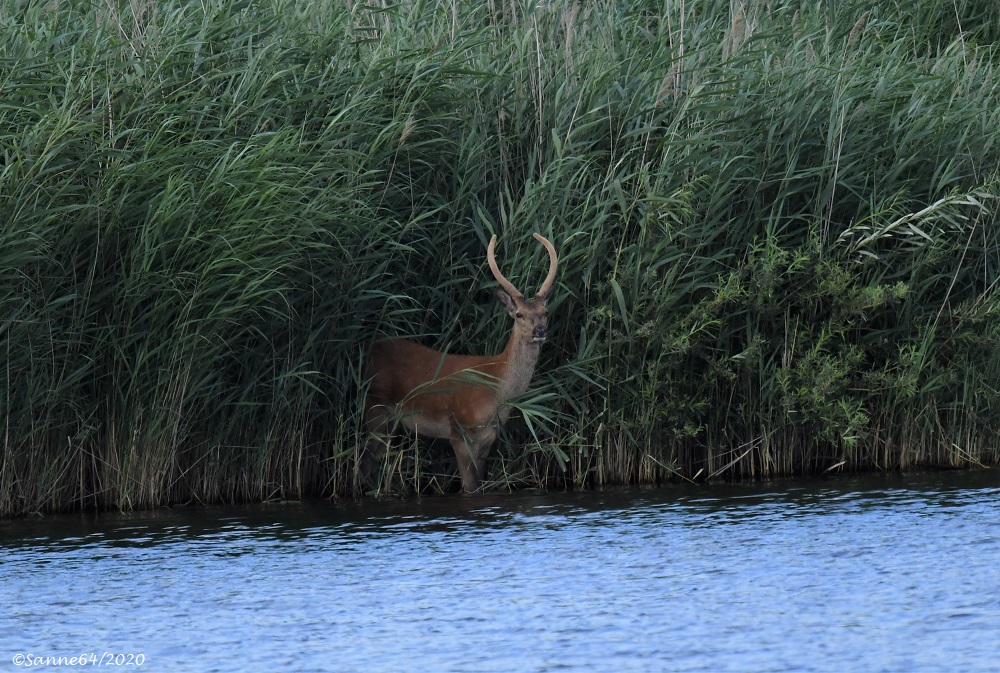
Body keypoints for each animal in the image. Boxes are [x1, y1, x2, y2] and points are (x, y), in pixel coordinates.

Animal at [364, 234, 560, 490]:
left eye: (544, 312)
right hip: (375, 406)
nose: (540, 331)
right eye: (519, 315)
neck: (495, 389)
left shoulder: (488, 439)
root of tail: (369, 347)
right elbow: (469, 487)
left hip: (389, 420)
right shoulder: (460, 432)